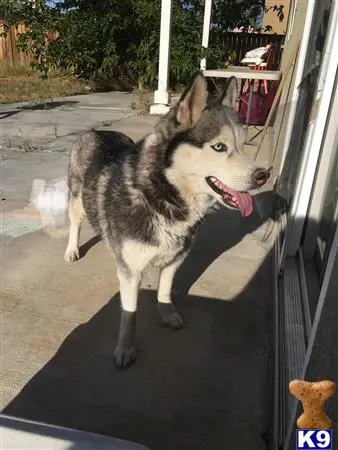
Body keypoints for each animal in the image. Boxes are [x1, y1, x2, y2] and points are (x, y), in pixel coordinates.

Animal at [63, 73, 270, 366]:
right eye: (219, 147)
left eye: (242, 146)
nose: (263, 175)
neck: (163, 198)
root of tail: (98, 131)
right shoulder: (131, 272)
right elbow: (129, 314)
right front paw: (126, 347)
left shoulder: (176, 257)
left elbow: (166, 288)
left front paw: (167, 312)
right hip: (77, 200)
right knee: (75, 222)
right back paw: (72, 249)